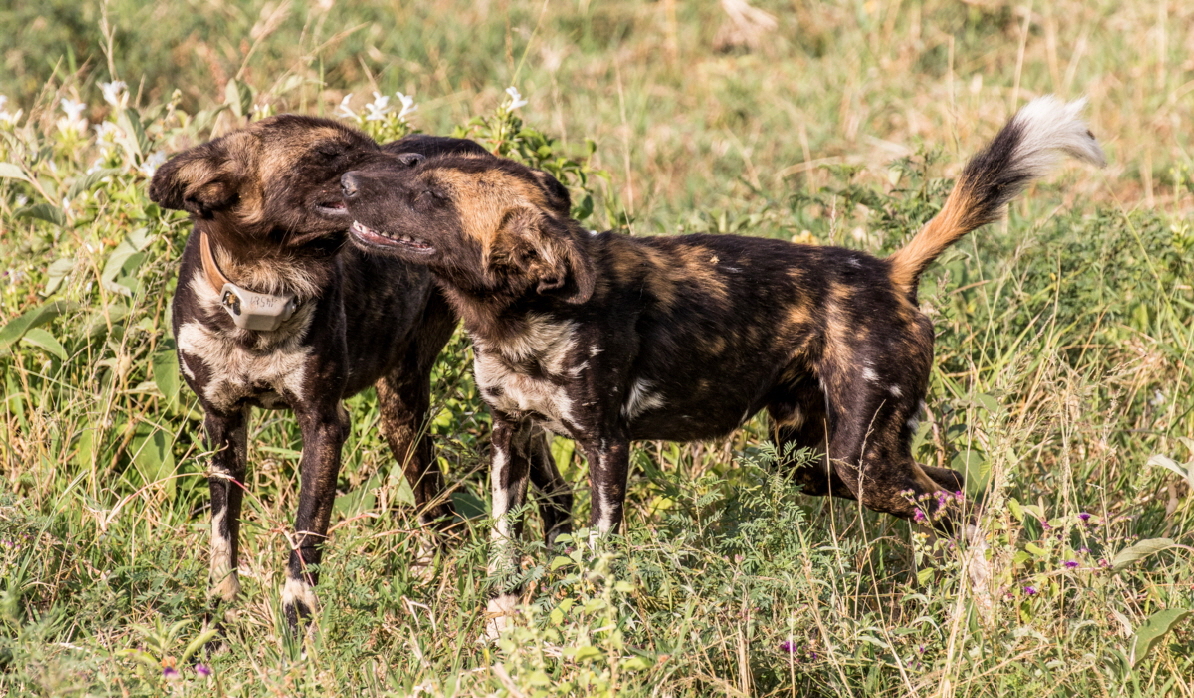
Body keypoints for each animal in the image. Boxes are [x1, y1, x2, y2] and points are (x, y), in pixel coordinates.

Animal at [149, 115, 568, 629]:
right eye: (328, 154)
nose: (413, 161)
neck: (262, 289)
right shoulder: (222, 426)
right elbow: (222, 535)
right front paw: (219, 610)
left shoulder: (325, 425)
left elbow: (306, 534)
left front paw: (297, 620)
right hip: (408, 421)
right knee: (444, 510)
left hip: (438, 406)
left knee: (523, 498)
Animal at [336, 95, 1098, 629]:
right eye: (414, 169)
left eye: (432, 198)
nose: (346, 184)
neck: (523, 316)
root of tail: (891, 272)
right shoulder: (509, 435)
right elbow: (503, 544)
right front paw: (503, 620)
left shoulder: (606, 445)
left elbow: (601, 553)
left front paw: (595, 622)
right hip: (817, 463)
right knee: (961, 488)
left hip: (859, 461)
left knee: (965, 510)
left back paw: (987, 607)